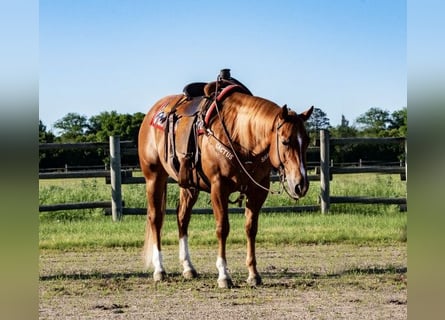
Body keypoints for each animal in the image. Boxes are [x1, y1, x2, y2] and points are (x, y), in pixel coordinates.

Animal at [138, 74, 312, 288]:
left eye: (307, 141)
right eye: (286, 141)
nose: (301, 184)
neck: (241, 136)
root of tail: (153, 113)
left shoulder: (258, 190)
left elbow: (251, 229)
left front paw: (253, 274)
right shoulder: (218, 187)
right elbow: (222, 228)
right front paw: (223, 275)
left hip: (188, 185)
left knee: (182, 218)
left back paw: (188, 267)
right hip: (154, 177)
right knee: (156, 219)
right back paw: (159, 270)